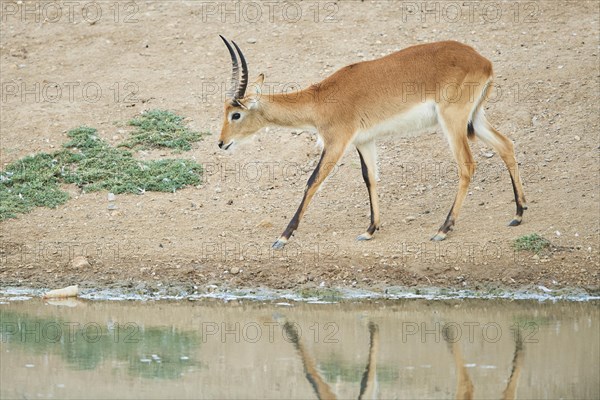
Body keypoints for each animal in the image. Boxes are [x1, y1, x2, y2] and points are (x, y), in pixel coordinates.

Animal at [218, 36, 528, 248]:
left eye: (235, 114)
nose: (221, 143)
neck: (320, 100)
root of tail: (483, 61)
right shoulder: (364, 142)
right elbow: (371, 179)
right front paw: (369, 230)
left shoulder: (336, 143)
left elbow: (312, 181)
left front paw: (282, 237)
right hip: (475, 118)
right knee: (507, 145)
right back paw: (518, 214)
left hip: (453, 121)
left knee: (467, 165)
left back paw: (443, 229)